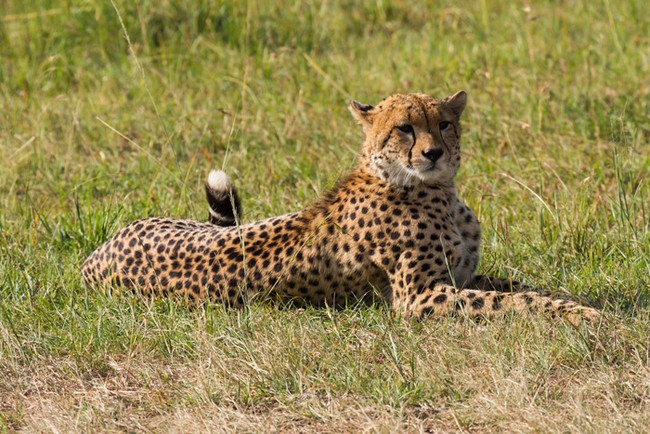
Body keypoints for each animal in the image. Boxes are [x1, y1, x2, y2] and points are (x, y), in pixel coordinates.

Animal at [81, 90, 596, 326]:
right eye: (405, 128)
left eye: (445, 124)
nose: (433, 153)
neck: (436, 191)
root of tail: (93, 258)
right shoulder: (419, 297)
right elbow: (508, 301)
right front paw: (578, 316)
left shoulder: (461, 275)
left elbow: (520, 286)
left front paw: (576, 301)